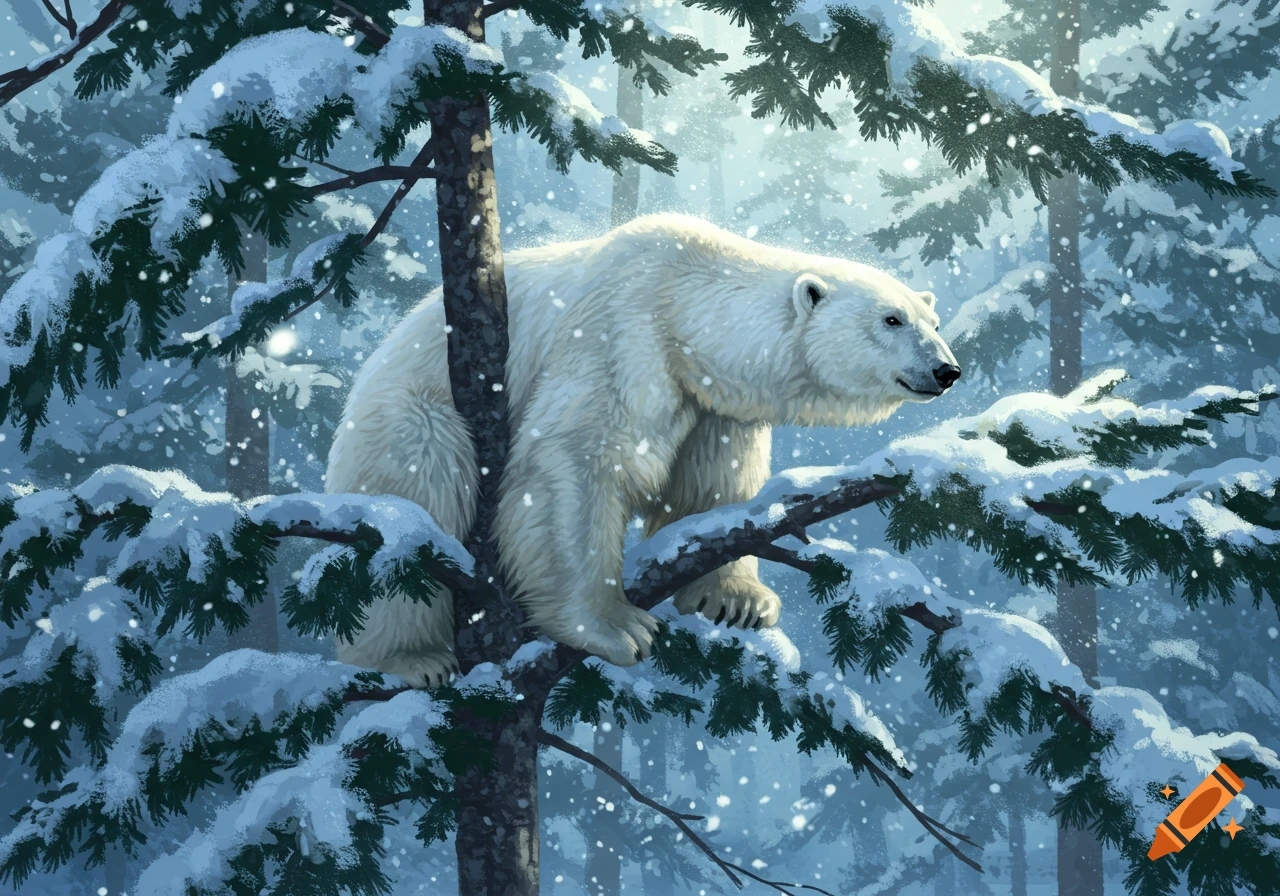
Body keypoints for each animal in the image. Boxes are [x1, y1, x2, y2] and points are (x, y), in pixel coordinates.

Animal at [325, 214, 959, 686]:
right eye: (892, 319)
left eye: (933, 320)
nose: (946, 370)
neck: (683, 300)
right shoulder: (616, 332)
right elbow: (572, 459)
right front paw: (617, 627)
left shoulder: (713, 404)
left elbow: (713, 488)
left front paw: (736, 601)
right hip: (410, 417)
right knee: (419, 502)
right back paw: (413, 658)